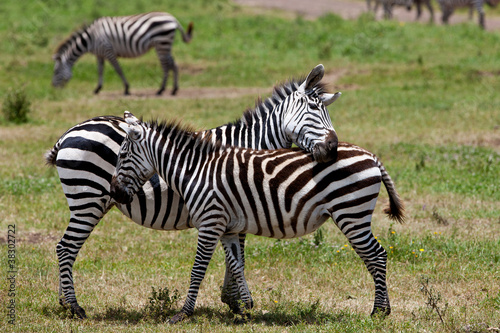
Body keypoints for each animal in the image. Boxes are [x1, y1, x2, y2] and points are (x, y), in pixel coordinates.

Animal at [46, 63, 340, 318]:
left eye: (328, 112)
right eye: (313, 110)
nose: (333, 149)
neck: (250, 147)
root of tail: (69, 132)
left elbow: (235, 256)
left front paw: (232, 300)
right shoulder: (237, 207)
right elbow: (238, 257)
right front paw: (236, 302)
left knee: (66, 249)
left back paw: (63, 303)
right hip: (87, 199)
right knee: (66, 247)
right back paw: (75, 307)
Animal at [50, 11, 191, 94]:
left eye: (56, 72)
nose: (53, 87)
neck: (90, 39)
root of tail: (173, 18)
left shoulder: (108, 50)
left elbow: (118, 69)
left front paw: (127, 88)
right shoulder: (99, 54)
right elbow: (100, 70)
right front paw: (97, 89)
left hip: (162, 42)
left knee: (166, 65)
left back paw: (161, 89)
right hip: (164, 44)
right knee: (173, 63)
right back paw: (174, 89)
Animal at [110, 111, 406, 322]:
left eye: (122, 155)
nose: (114, 192)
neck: (195, 170)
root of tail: (371, 156)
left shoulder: (209, 222)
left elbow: (198, 270)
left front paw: (183, 313)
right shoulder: (227, 228)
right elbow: (237, 265)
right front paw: (245, 309)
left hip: (351, 213)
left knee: (377, 255)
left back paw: (379, 312)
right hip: (353, 214)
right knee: (375, 256)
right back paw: (382, 308)